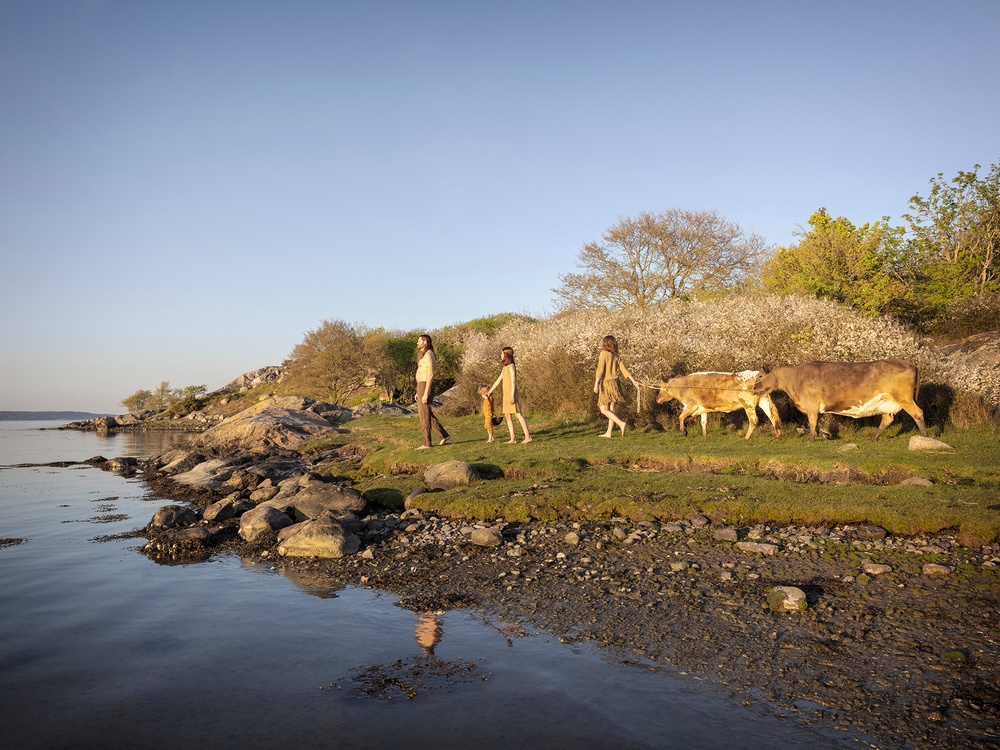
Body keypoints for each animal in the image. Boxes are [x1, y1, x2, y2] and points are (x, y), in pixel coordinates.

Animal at [756, 362, 928, 444]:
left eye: (759, 376)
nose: (753, 387)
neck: (795, 378)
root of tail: (911, 364)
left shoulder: (811, 404)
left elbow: (812, 422)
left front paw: (811, 439)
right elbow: (816, 424)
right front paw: (824, 435)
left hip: (904, 398)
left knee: (918, 413)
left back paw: (925, 437)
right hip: (887, 402)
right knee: (887, 419)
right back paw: (873, 438)